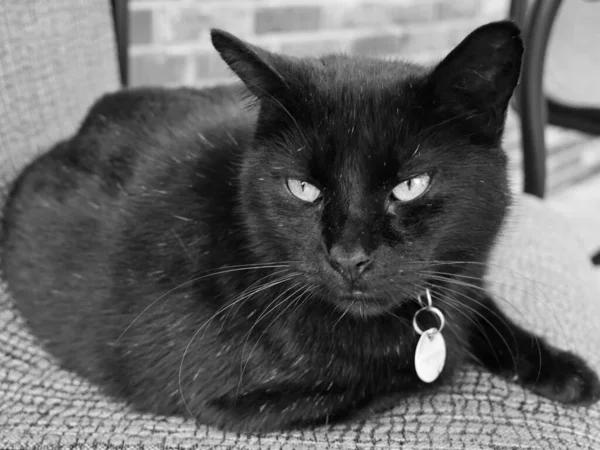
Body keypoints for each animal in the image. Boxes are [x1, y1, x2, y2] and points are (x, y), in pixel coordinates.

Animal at [2, 21, 596, 432]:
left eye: (410, 185)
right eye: (302, 189)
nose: (349, 256)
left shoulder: (463, 268)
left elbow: (476, 306)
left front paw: (565, 370)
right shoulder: (234, 402)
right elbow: (414, 372)